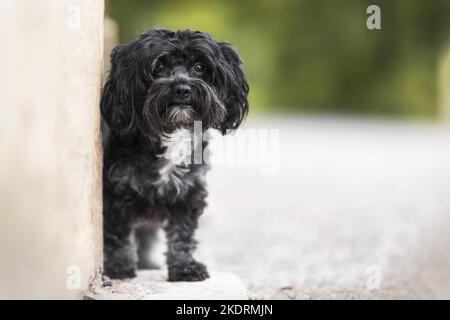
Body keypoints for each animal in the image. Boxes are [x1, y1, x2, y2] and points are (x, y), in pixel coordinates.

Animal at [100, 28, 250, 282]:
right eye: (159, 66)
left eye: (199, 67)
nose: (182, 89)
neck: (170, 132)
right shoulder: (115, 190)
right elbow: (117, 234)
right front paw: (119, 266)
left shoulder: (188, 193)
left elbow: (182, 235)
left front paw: (184, 267)